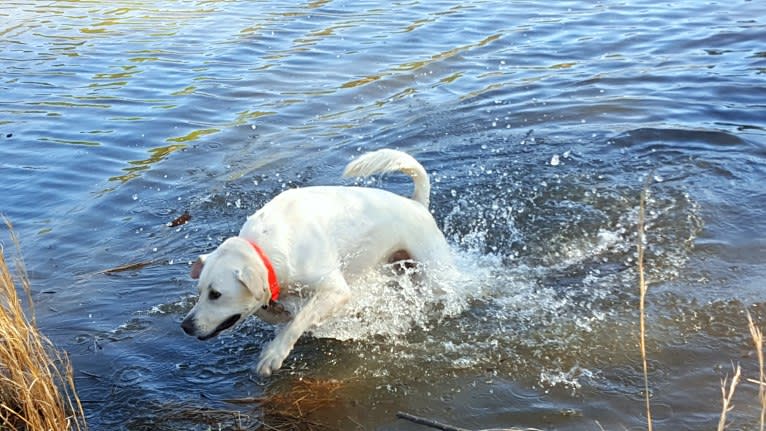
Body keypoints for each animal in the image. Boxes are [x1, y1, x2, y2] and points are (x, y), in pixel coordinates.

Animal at [180, 149, 456, 378]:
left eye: (216, 294)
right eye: (200, 292)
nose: (185, 326)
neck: (267, 248)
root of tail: (416, 203)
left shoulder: (335, 289)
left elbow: (299, 320)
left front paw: (273, 354)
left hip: (434, 270)